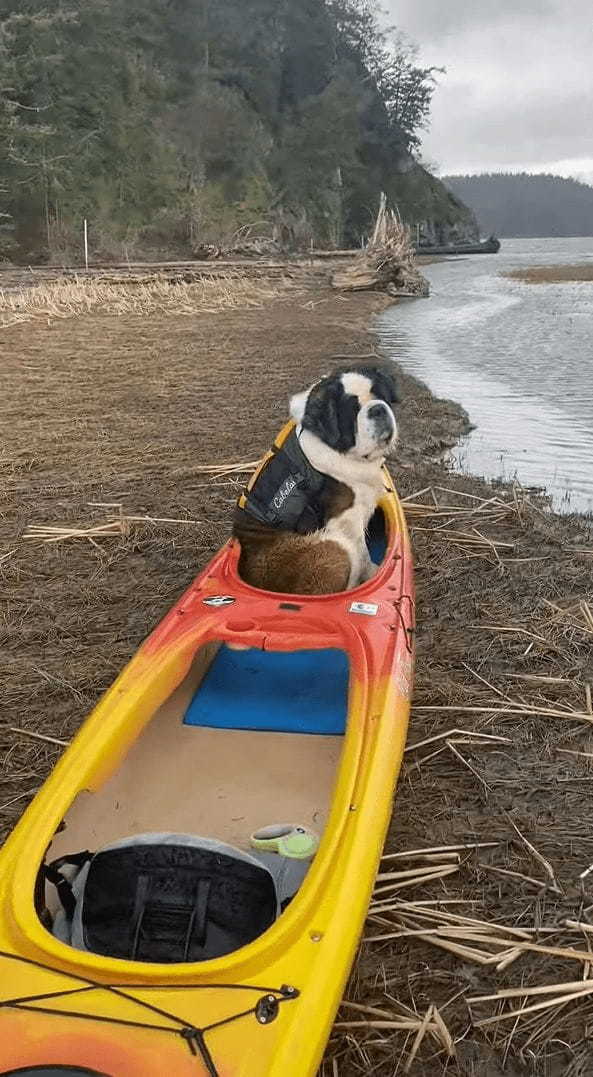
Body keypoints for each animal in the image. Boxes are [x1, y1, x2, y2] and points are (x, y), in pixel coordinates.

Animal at [233, 366, 398, 594]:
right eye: (352, 410)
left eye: (381, 396)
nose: (378, 409)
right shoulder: (346, 520)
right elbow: (362, 552)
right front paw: (374, 572)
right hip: (334, 548)